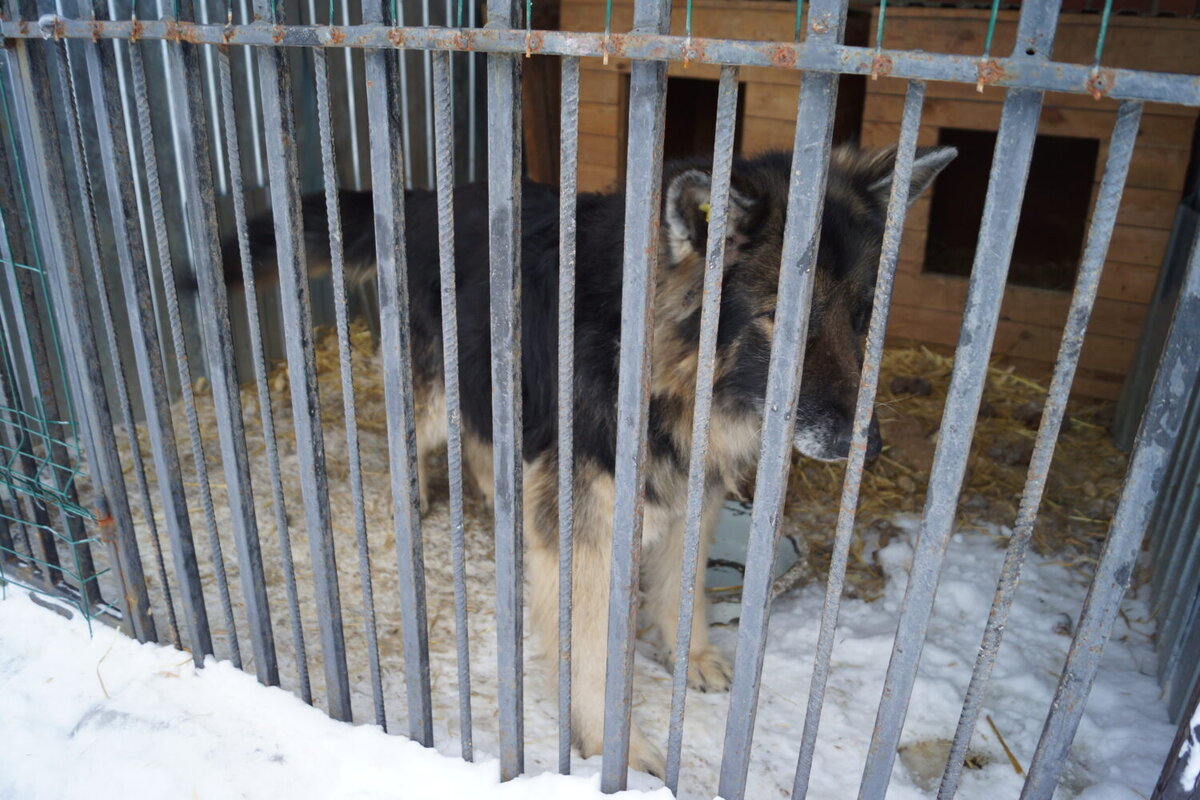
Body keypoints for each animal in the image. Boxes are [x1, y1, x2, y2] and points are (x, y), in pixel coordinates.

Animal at [218, 143, 955, 777]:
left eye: (863, 315)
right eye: (781, 319)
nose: (867, 446)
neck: (657, 373)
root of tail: (426, 198)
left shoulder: (691, 498)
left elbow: (683, 589)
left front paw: (692, 657)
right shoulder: (588, 529)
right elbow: (593, 649)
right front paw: (615, 747)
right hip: (442, 394)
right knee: (411, 438)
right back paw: (416, 499)